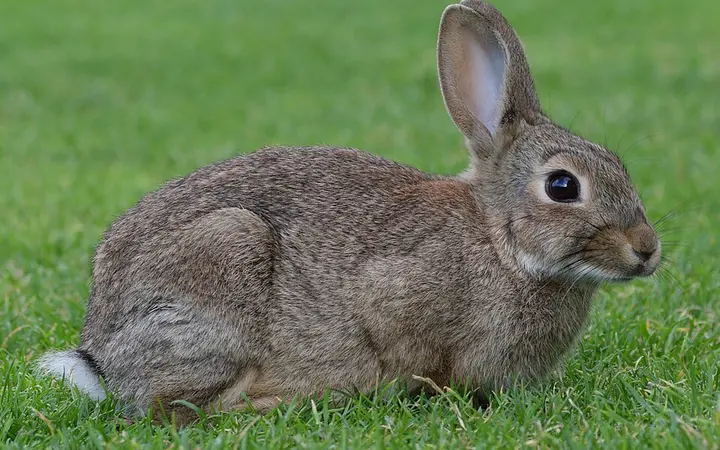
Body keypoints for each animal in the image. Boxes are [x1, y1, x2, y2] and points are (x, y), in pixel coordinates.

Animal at [38, 0, 661, 421]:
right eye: (562, 186)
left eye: (619, 164)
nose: (647, 250)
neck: (501, 245)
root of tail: (100, 356)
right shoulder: (394, 300)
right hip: (225, 258)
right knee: (180, 408)